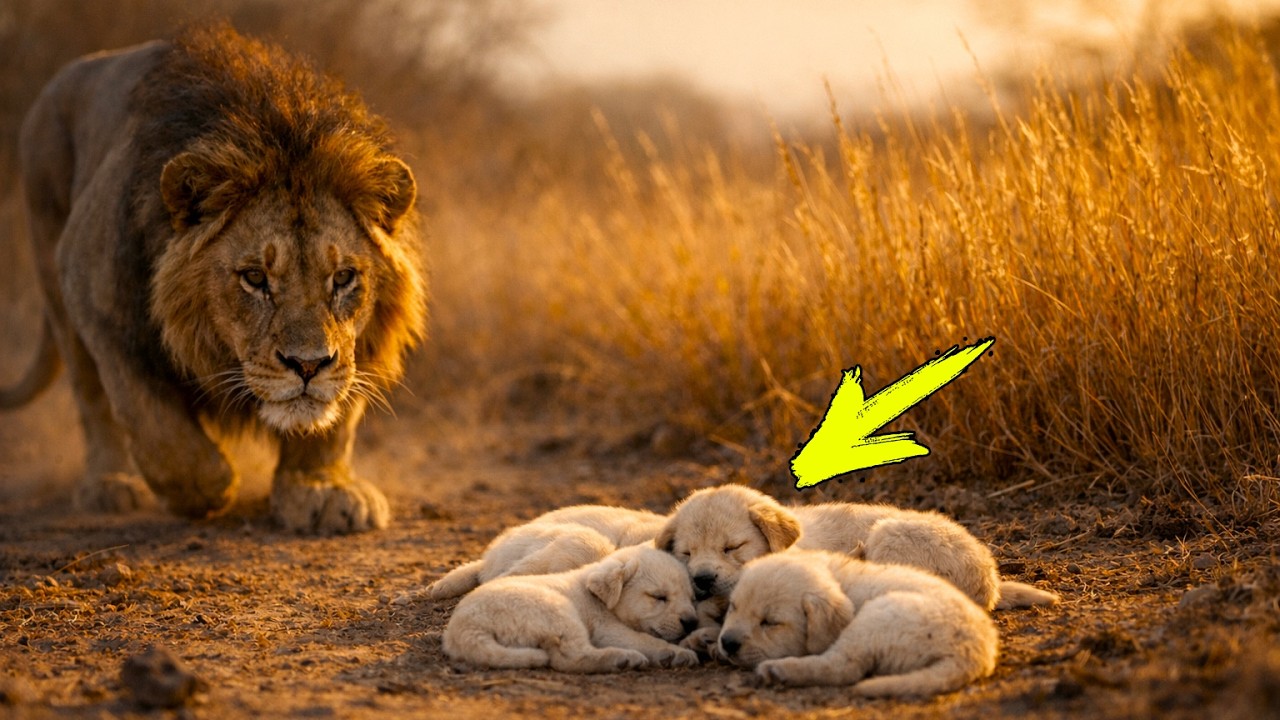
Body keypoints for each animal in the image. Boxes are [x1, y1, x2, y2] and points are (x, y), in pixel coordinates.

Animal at [1, 25, 427, 533]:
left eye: (343, 277)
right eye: (255, 278)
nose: (307, 366)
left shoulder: (361, 348)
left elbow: (335, 416)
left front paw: (323, 488)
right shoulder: (92, 293)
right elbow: (149, 415)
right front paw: (204, 487)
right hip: (52, 267)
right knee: (92, 400)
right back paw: (110, 484)